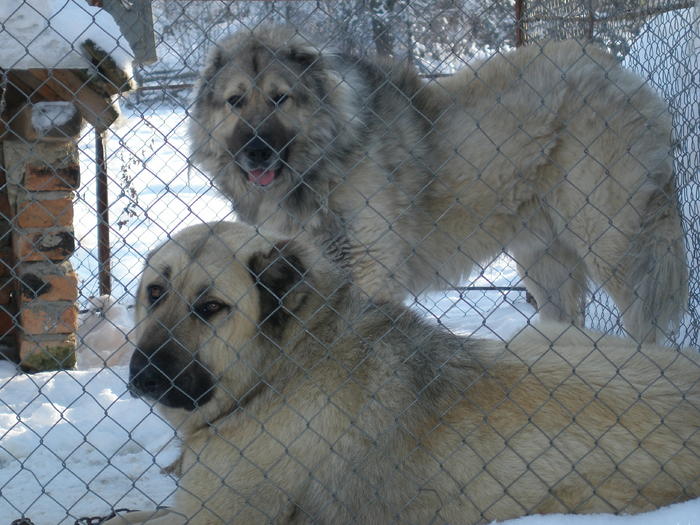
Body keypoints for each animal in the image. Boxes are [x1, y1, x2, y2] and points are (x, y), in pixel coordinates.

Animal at [106, 222, 696, 524]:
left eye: (211, 308)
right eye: (154, 293)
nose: (144, 376)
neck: (283, 366)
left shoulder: (216, 514)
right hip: (546, 335)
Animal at [187, 27, 688, 344]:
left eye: (280, 99)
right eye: (235, 101)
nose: (256, 151)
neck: (323, 161)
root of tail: (619, 72)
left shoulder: (368, 271)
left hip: (613, 243)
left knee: (645, 323)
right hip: (546, 259)